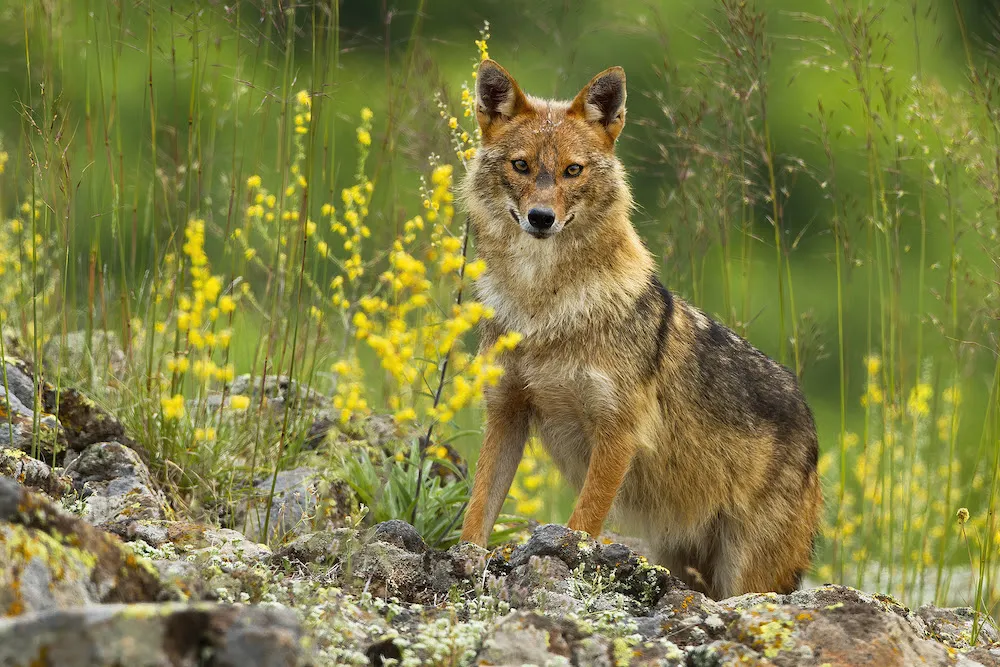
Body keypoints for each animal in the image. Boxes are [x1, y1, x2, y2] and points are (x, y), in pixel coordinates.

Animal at [457, 59, 823, 599]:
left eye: (572, 170)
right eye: (521, 166)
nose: (541, 219)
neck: (542, 308)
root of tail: (812, 426)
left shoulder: (618, 433)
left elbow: (583, 523)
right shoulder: (506, 413)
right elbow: (479, 506)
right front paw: (465, 562)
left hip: (746, 576)